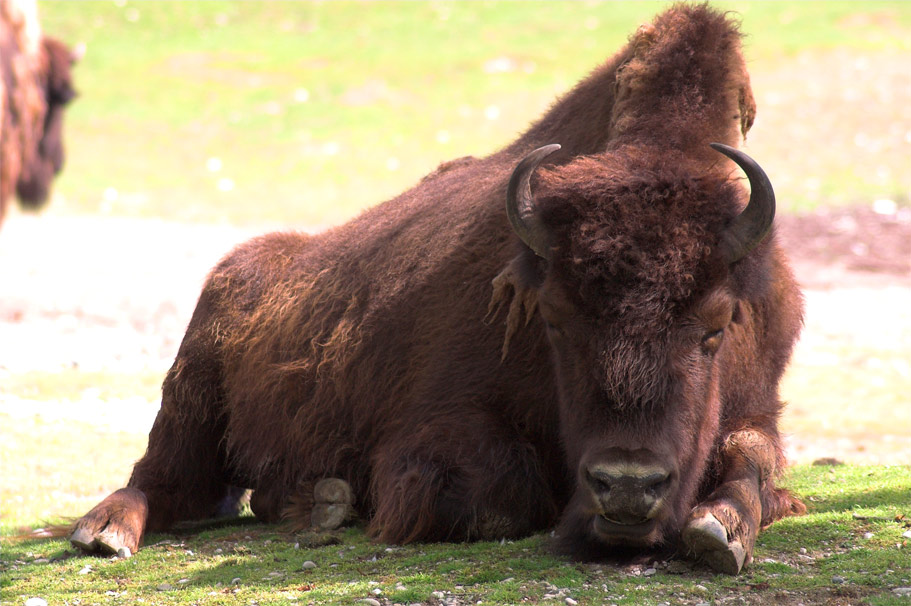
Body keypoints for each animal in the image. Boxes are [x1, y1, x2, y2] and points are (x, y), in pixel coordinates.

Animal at [69, 3, 804, 576]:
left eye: (716, 326)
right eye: (554, 319)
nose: (626, 487)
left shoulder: (757, 407)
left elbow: (753, 460)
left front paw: (718, 532)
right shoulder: (438, 433)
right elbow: (501, 494)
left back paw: (323, 500)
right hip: (189, 393)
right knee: (160, 482)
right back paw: (105, 532)